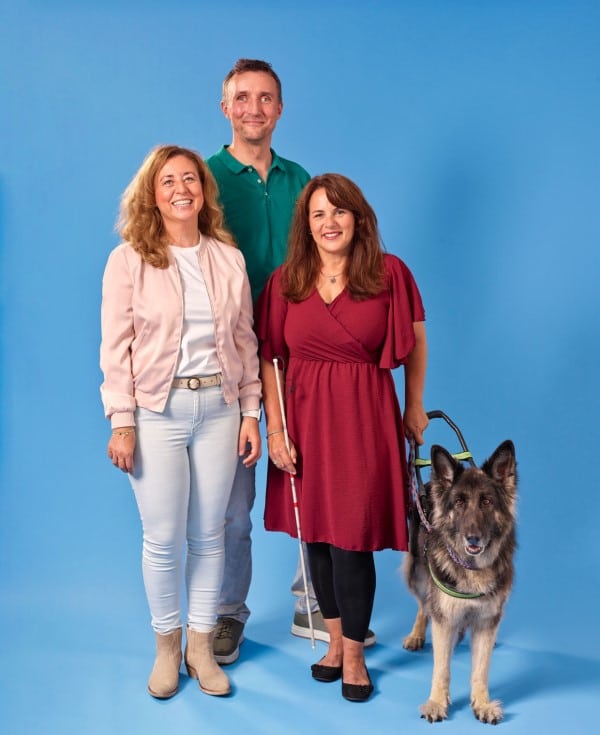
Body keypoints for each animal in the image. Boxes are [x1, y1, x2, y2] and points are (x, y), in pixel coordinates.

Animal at [404, 442, 516, 724]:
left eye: (486, 501)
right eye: (459, 502)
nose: (473, 538)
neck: (472, 569)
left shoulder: (487, 620)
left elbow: (481, 669)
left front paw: (483, 703)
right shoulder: (444, 618)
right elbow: (441, 668)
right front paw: (436, 702)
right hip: (417, 575)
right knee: (423, 605)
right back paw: (417, 634)